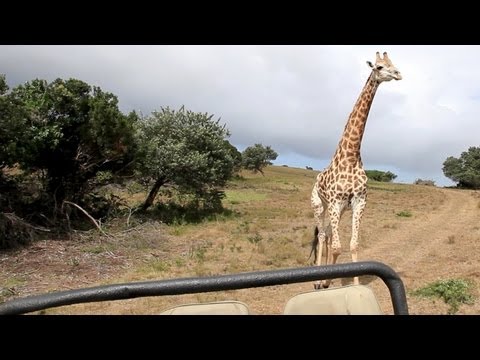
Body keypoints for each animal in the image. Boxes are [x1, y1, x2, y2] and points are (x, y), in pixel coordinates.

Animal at [312, 52, 402, 290]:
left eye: (393, 64)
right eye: (379, 67)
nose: (398, 74)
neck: (351, 156)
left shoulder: (359, 202)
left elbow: (352, 244)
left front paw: (352, 284)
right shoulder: (335, 202)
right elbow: (337, 246)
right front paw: (325, 280)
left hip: (340, 209)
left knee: (329, 233)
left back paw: (323, 279)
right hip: (320, 205)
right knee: (323, 235)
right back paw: (317, 280)